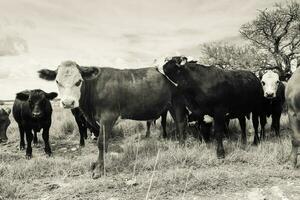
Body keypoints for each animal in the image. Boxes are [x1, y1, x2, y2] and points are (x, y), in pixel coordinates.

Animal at [38, 60, 186, 178]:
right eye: (58, 81)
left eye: (78, 81)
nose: (68, 103)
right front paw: (96, 164)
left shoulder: (108, 117)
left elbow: (101, 142)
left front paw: (98, 169)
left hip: (177, 101)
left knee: (180, 123)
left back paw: (182, 145)